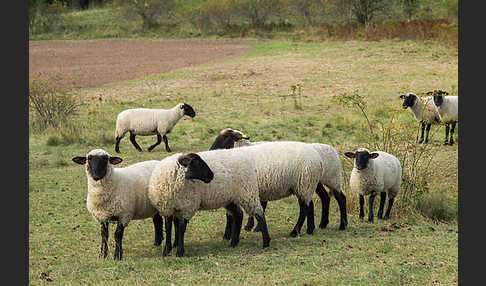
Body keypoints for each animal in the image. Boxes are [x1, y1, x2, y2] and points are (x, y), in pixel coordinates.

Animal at [209, 128, 346, 238]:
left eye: (227, 137)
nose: (211, 151)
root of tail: (317, 156)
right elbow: (231, 214)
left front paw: (239, 231)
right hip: (309, 184)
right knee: (318, 201)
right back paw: (313, 228)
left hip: (323, 180)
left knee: (324, 202)